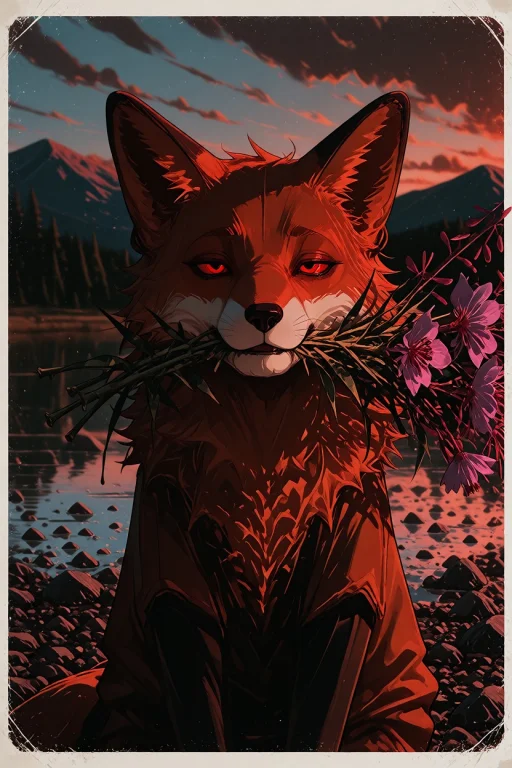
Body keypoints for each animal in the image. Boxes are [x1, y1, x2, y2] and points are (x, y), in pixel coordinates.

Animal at [11, 90, 438, 752]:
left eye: (311, 265)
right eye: (212, 266)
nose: (263, 314)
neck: (262, 464)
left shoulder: (348, 574)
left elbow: (315, 726)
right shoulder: (172, 578)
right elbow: (200, 721)